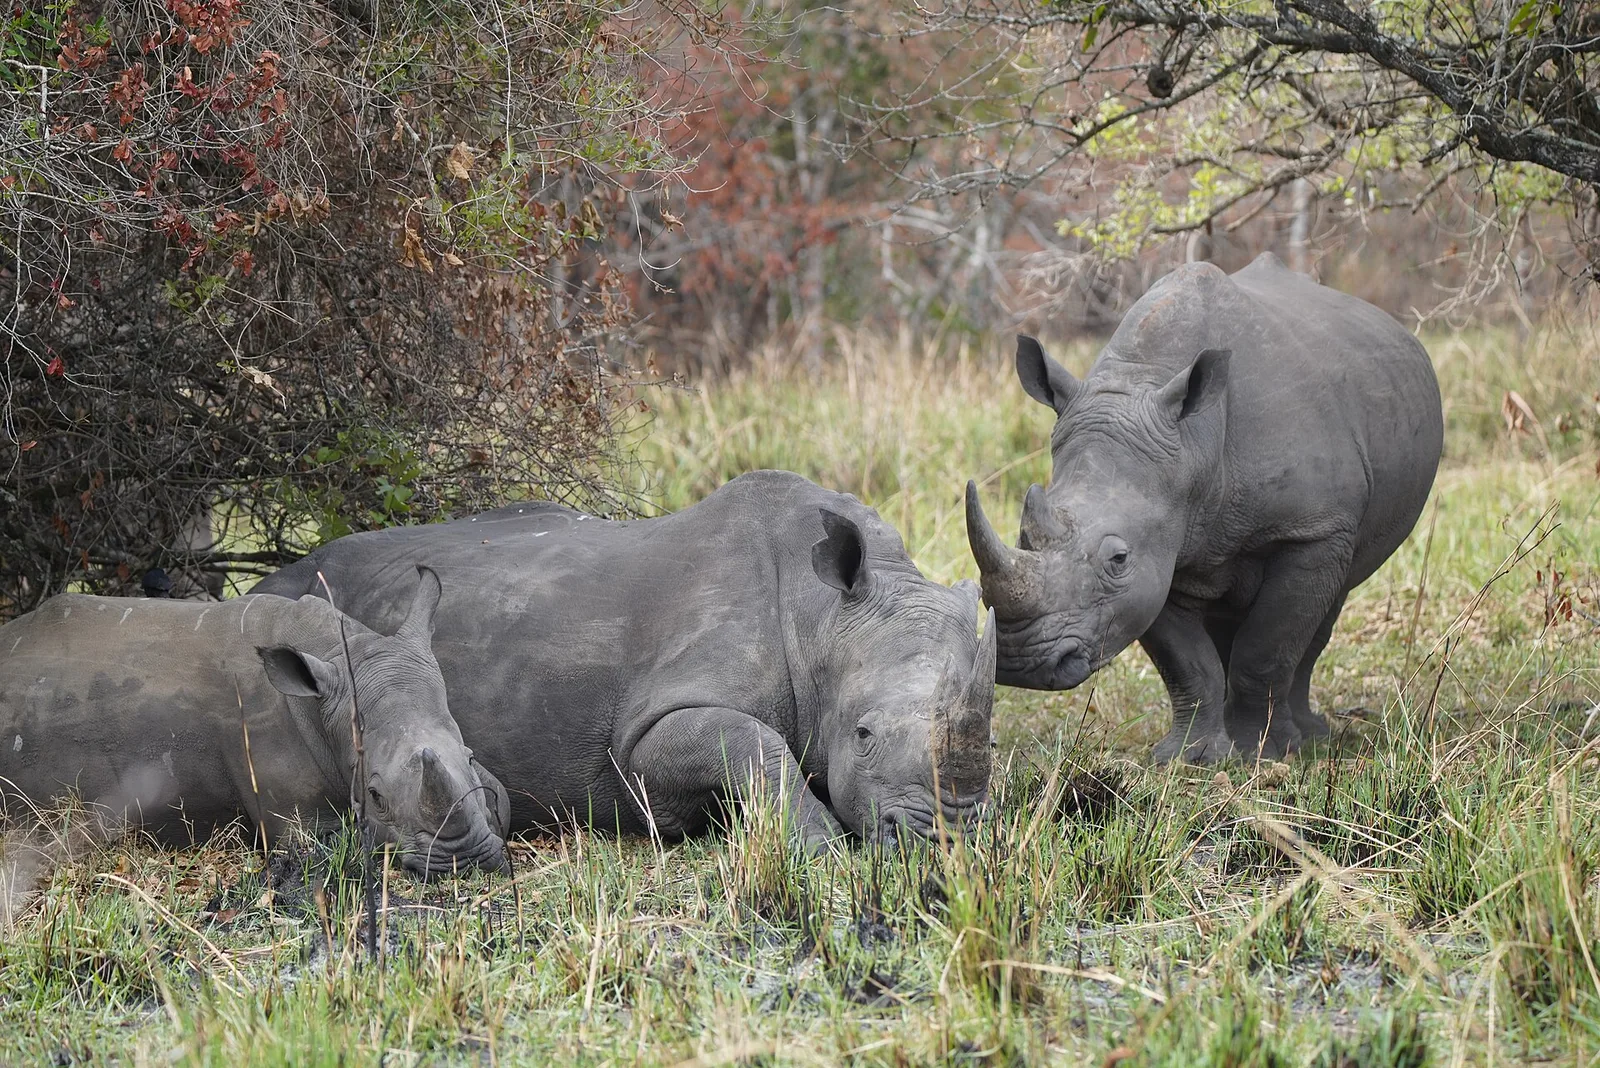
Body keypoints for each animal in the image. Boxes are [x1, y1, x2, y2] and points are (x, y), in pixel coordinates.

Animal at [252, 471, 996, 850]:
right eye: (863, 735)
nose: (943, 840)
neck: (824, 619)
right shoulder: (646, 730)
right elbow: (751, 741)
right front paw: (822, 850)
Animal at [967, 254, 1443, 762]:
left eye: (1118, 559)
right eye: (1024, 536)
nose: (1020, 661)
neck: (1193, 444)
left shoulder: (1313, 528)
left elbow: (1269, 646)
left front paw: (1263, 753)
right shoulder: (1162, 549)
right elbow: (1187, 662)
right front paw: (1187, 758)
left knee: (1324, 609)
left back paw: (1311, 738)